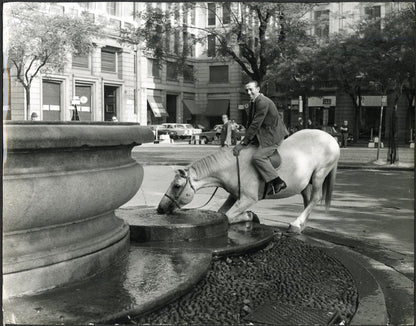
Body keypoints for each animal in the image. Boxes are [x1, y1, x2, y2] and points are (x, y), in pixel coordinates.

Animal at [158, 129, 340, 233]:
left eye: (176, 186)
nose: (160, 208)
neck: (231, 167)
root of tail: (331, 139)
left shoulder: (248, 198)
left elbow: (228, 216)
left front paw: (250, 215)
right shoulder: (234, 195)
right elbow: (222, 213)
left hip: (319, 174)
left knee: (315, 198)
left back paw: (296, 223)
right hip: (305, 182)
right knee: (308, 200)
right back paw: (302, 224)